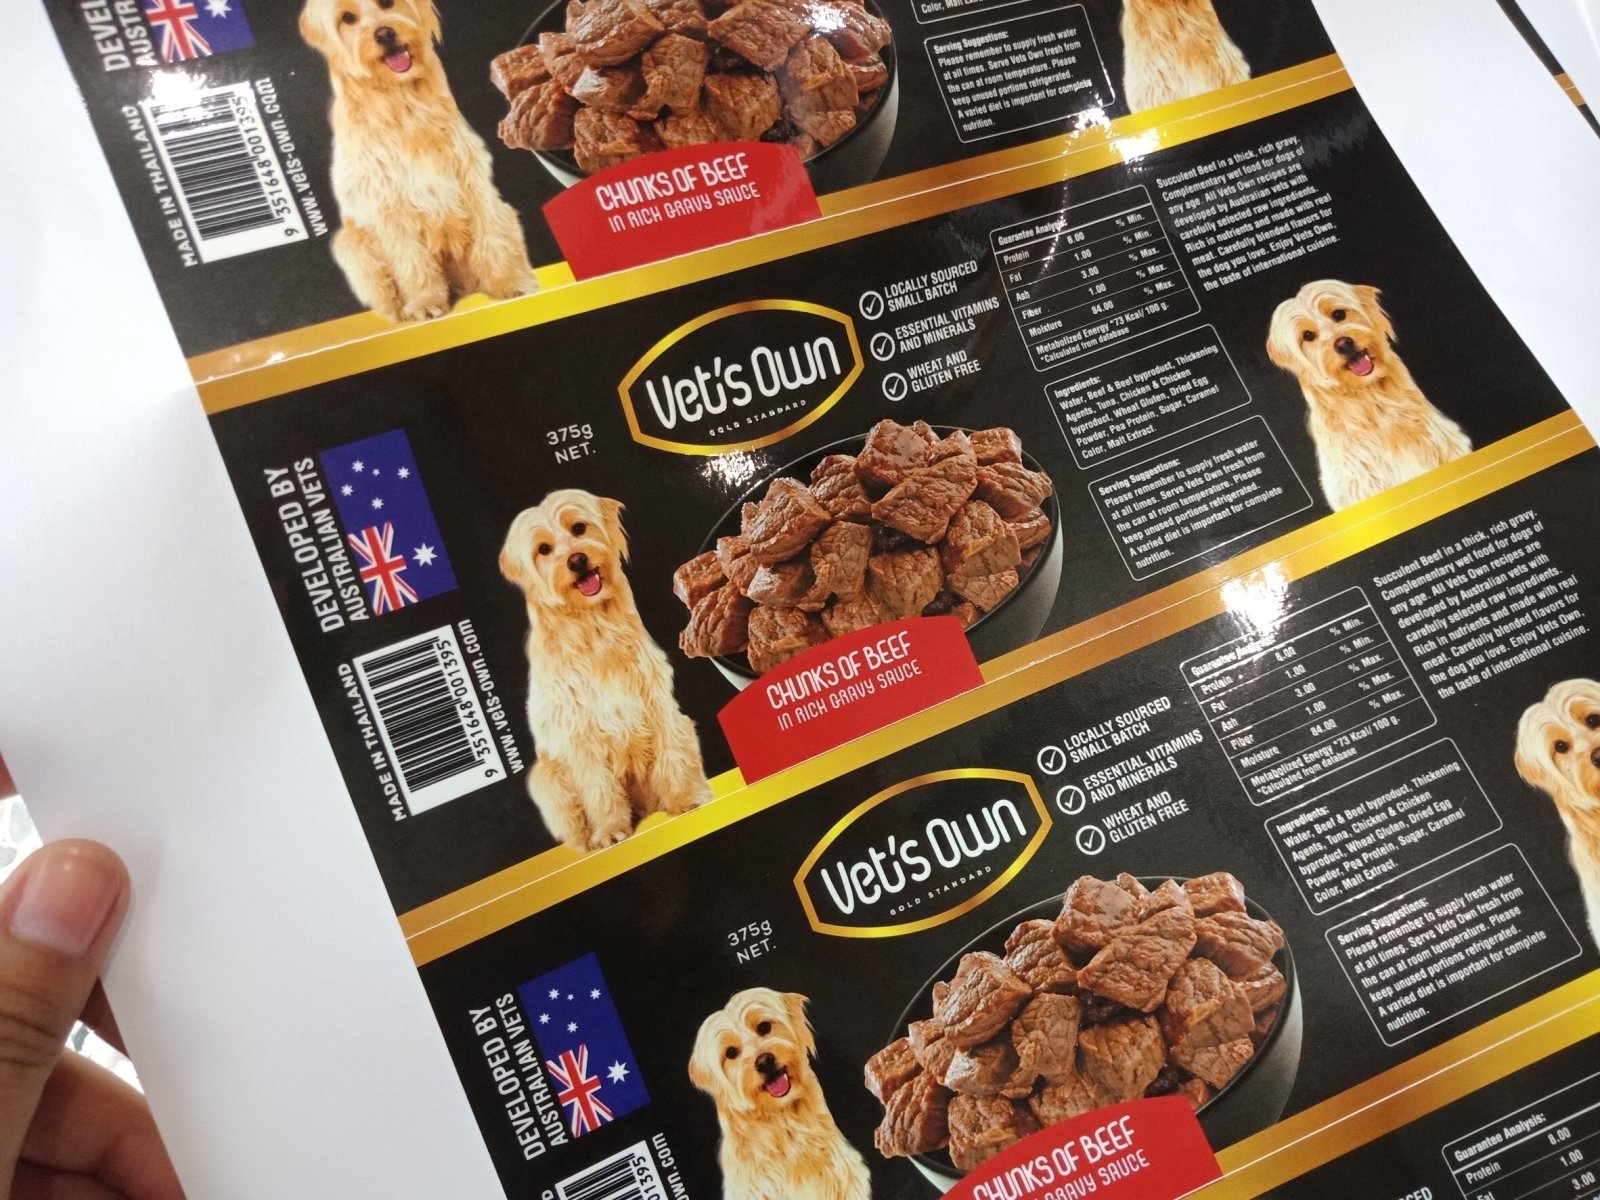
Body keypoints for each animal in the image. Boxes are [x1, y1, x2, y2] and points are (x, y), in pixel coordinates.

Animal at [299, 0, 537, 322]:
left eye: (387, 3)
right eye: (347, 18)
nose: (385, 34)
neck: (402, 102)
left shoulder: (470, 177)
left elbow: (491, 237)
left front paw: (510, 283)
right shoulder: (389, 203)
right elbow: (411, 260)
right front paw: (425, 303)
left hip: (505, 213)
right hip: (351, 244)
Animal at [499, 489, 710, 852]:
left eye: (579, 528)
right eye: (543, 549)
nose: (576, 560)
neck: (592, 626)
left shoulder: (655, 700)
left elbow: (671, 753)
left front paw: (685, 799)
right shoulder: (579, 732)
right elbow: (598, 787)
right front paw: (611, 830)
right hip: (547, 778)